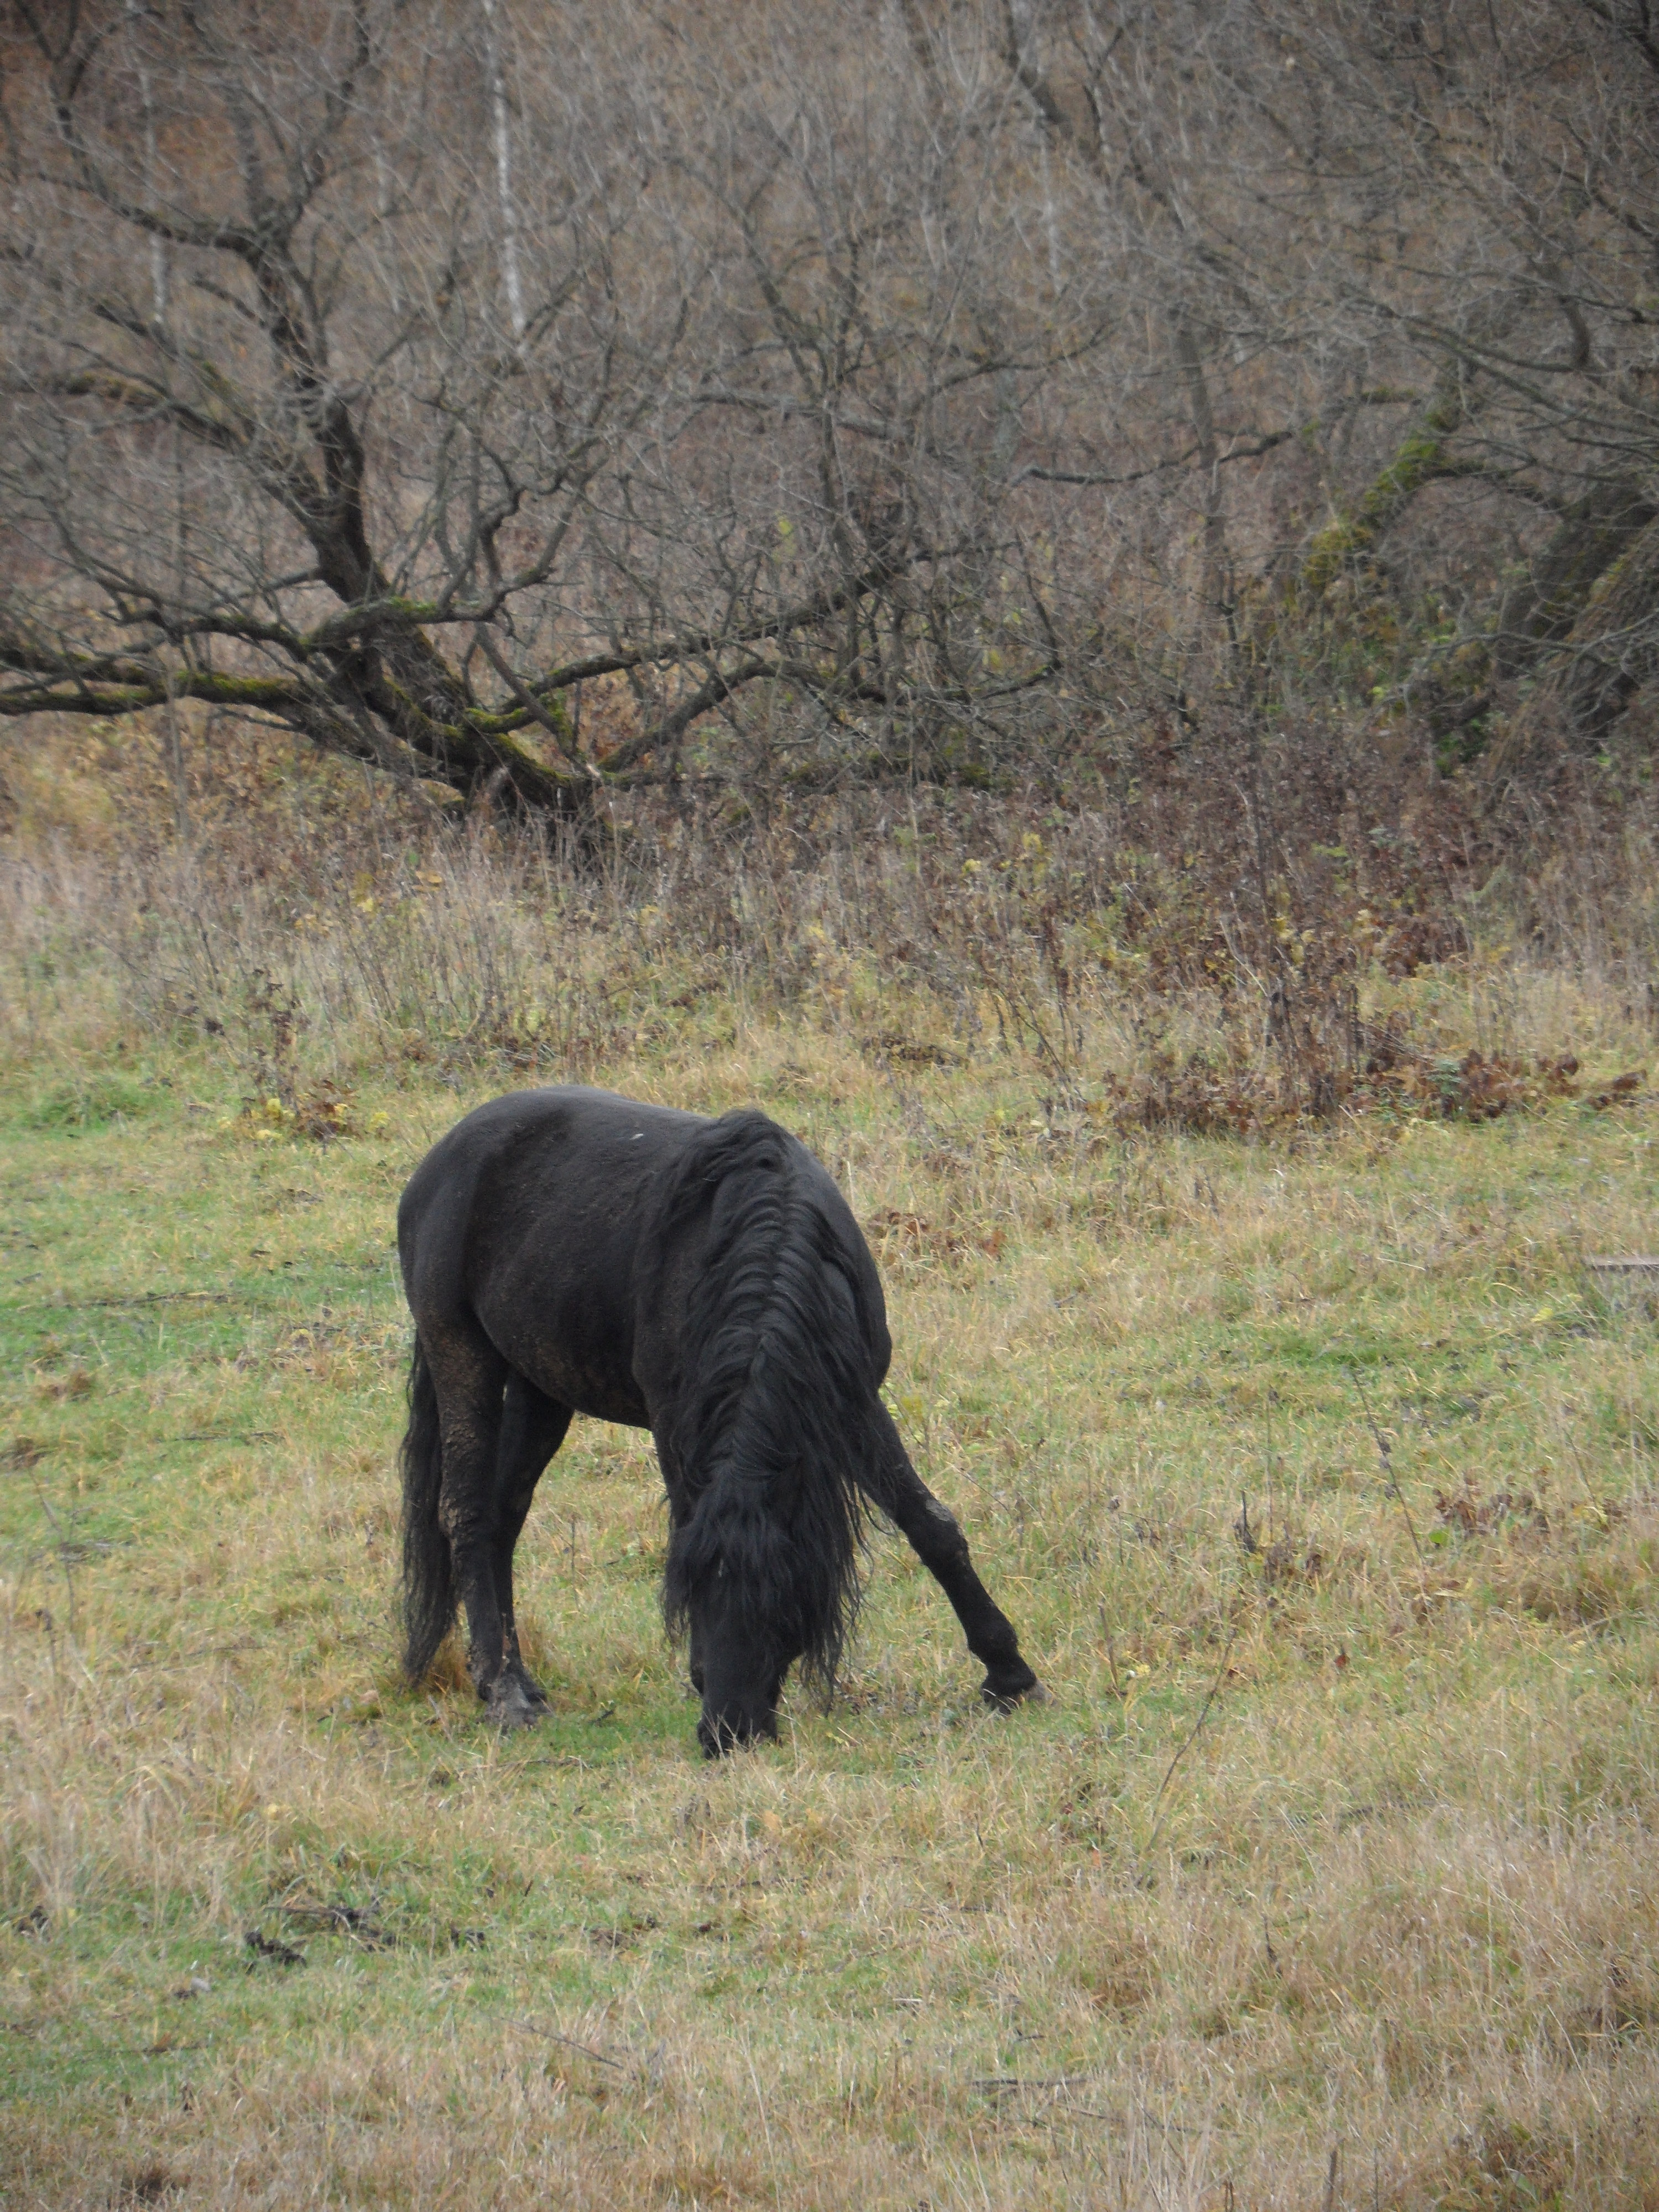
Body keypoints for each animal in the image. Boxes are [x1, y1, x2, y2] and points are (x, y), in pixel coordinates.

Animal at [396, 1086, 1042, 1755]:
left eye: (783, 1599)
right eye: (695, 1598)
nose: (727, 1733)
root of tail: (443, 1157)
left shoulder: (854, 1402)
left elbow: (928, 1523)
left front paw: (1009, 1674)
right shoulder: (675, 1420)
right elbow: (686, 1522)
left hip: (540, 1384)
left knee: (504, 1516)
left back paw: (517, 1678)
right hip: (459, 1350)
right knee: (466, 1514)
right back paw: (505, 1693)